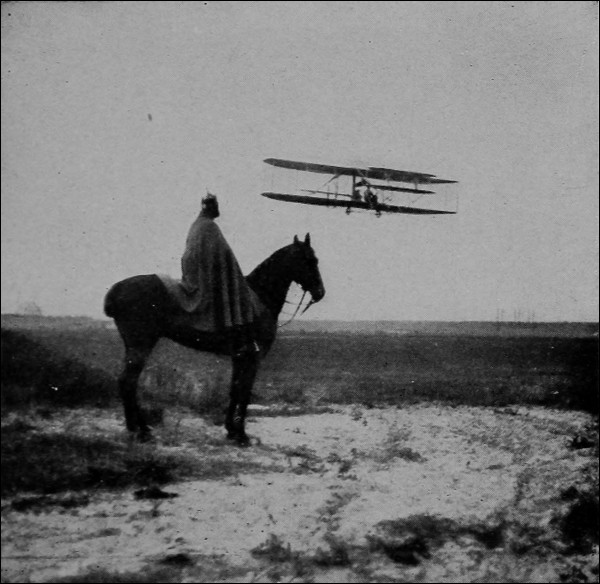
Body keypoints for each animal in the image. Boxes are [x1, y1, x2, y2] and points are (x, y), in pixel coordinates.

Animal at [105, 235, 326, 444]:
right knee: (128, 382)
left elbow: (234, 390)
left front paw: (231, 431)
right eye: (309, 260)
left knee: (127, 382)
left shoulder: (240, 356)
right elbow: (244, 392)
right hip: (141, 345)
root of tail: (116, 290)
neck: (257, 299)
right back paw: (141, 431)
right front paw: (241, 435)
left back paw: (136, 428)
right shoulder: (252, 357)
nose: (320, 293)